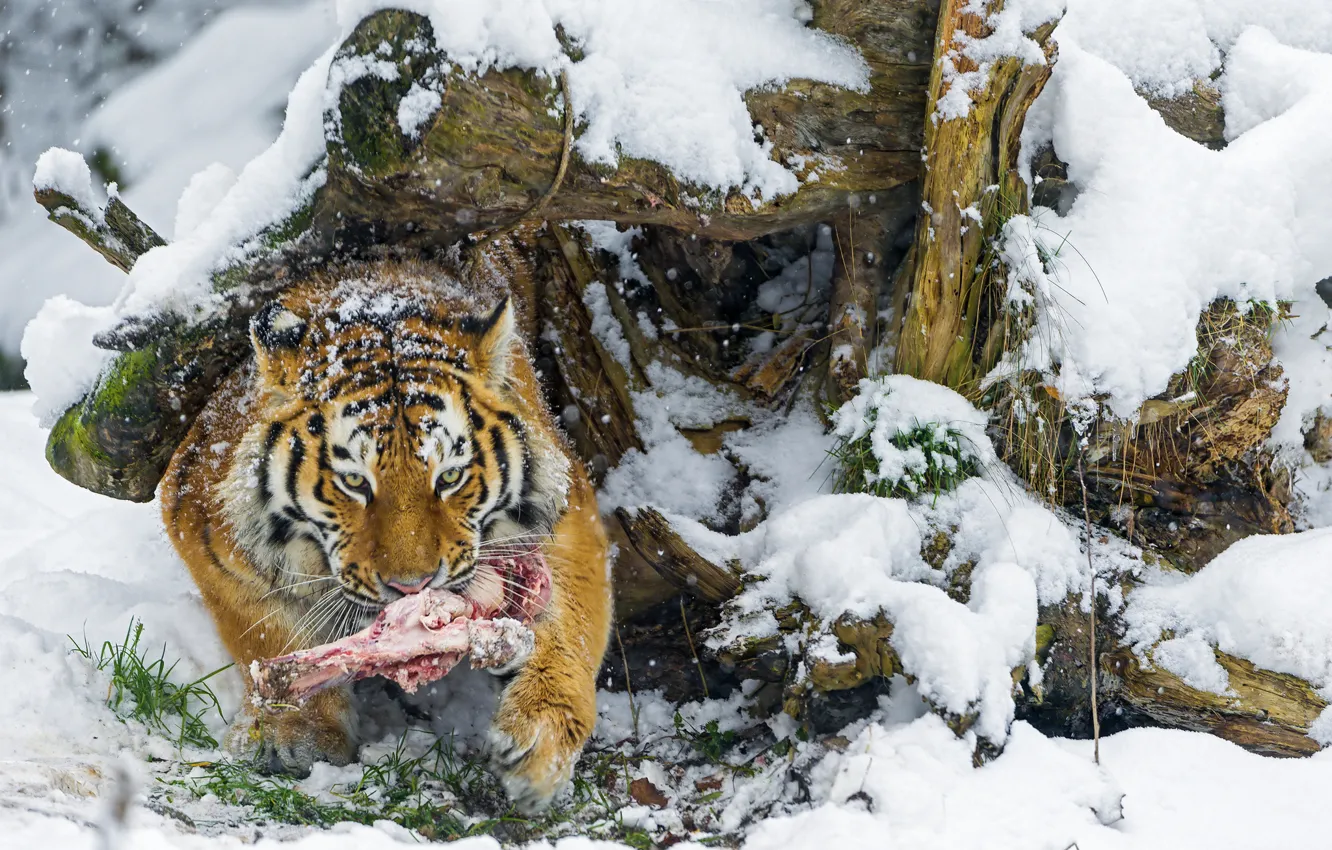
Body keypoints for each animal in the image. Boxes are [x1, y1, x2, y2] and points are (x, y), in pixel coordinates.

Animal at [161, 263, 612, 815]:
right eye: (355, 482)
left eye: (449, 477)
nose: (411, 587)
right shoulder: (207, 531)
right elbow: (268, 634)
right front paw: (295, 732)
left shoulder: (570, 516)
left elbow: (572, 629)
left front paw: (538, 747)